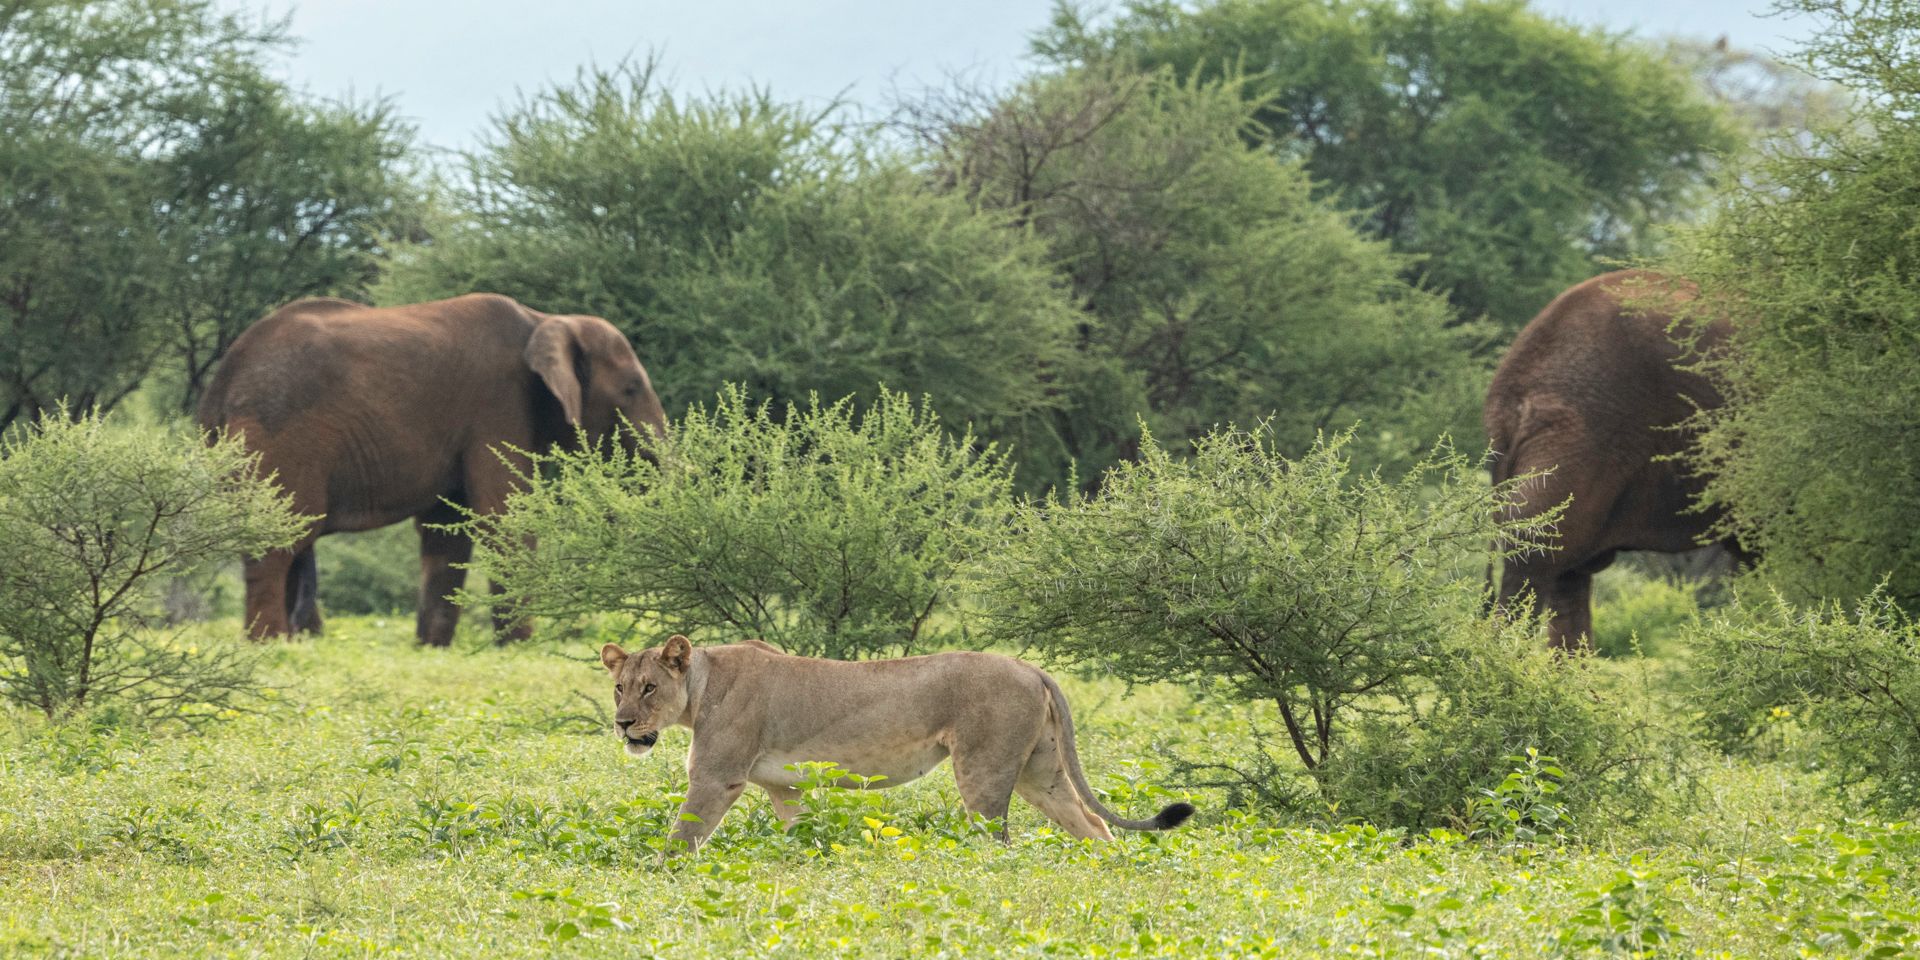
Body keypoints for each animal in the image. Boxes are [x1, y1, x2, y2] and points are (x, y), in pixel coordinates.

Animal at [599, 634, 1196, 855]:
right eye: (619, 686)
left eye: (649, 687)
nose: (624, 724)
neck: (698, 687)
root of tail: (1030, 667)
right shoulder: (784, 788)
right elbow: (799, 833)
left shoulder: (716, 777)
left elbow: (681, 838)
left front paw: (656, 872)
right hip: (1039, 771)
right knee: (1093, 825)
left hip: (982, 771)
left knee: (998, 841)